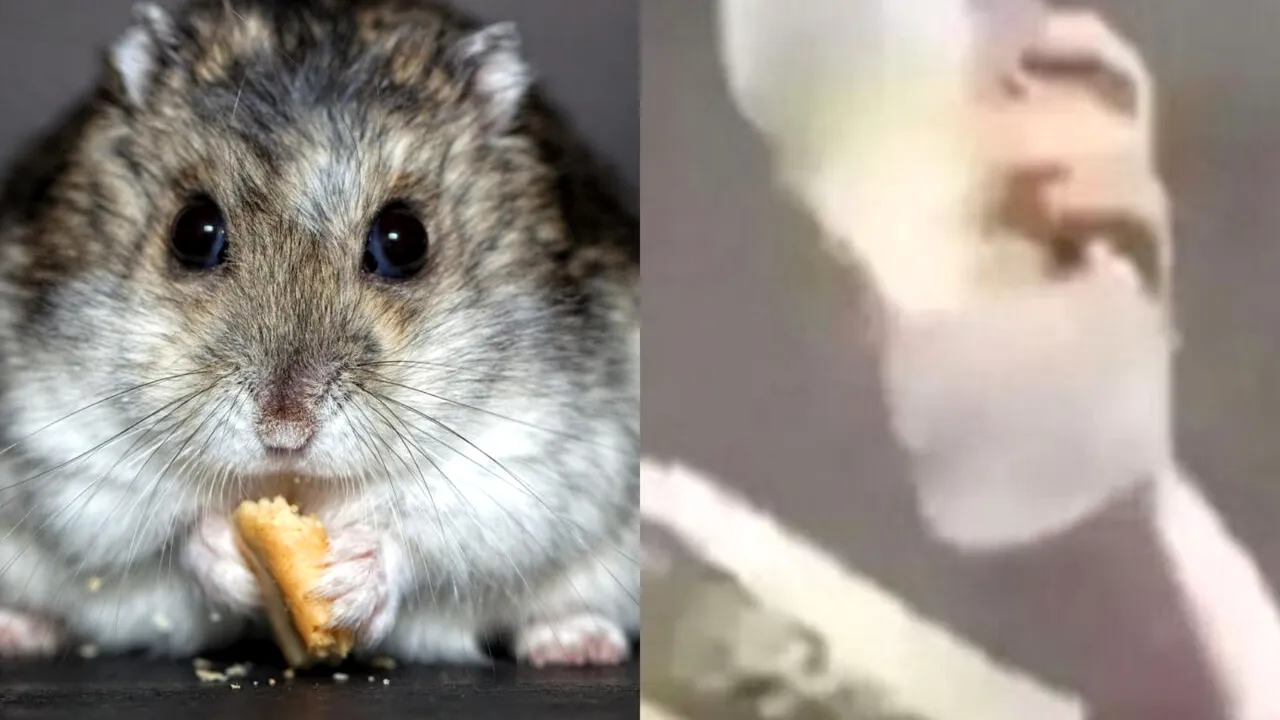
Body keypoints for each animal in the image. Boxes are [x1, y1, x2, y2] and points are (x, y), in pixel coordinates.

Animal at [0, 0, 638, 666]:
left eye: (404, 240)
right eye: (193, 232)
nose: (285, 432)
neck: (293, 482)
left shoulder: (526, 459)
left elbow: (424, 533)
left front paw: (347, 578)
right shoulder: (68, 447)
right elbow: (164, 530)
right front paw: (229, 553)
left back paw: (577, 644)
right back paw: (18, 630)